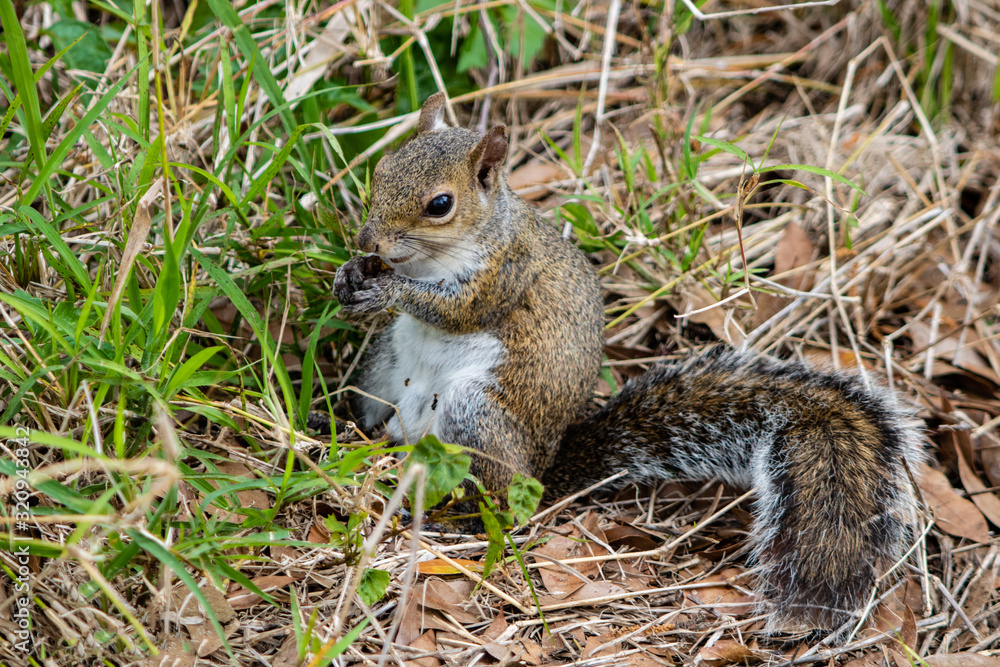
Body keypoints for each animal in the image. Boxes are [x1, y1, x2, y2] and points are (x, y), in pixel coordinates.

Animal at [333, 93, 924, 632]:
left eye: (440, 204)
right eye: (381, 170)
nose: (366, 238)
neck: (450, 250)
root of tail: (542, 468)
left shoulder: (503, 274)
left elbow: (454, 308)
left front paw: (388, 288)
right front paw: (351, 274)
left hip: (473, 414)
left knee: (499, 498)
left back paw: (455, 521)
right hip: (385, 365)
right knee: (378, 418)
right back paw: (342, 427)